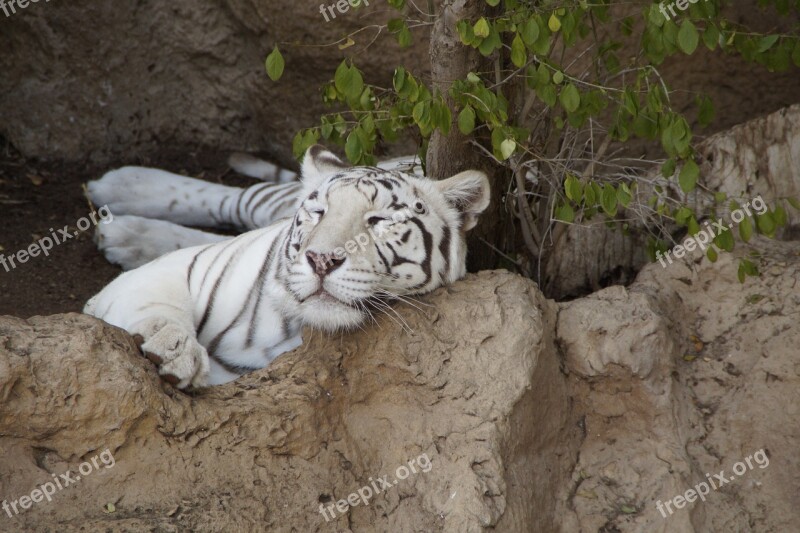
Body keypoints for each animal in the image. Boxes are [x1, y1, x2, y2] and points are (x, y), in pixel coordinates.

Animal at [84, 145, 490, 386]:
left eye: (379, 221)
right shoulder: (166, 274)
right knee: (241, 198)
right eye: (319, 212)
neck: (289, 326)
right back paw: (123, 189)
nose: (322, 259)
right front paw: (174, 351)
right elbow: (157, 309)